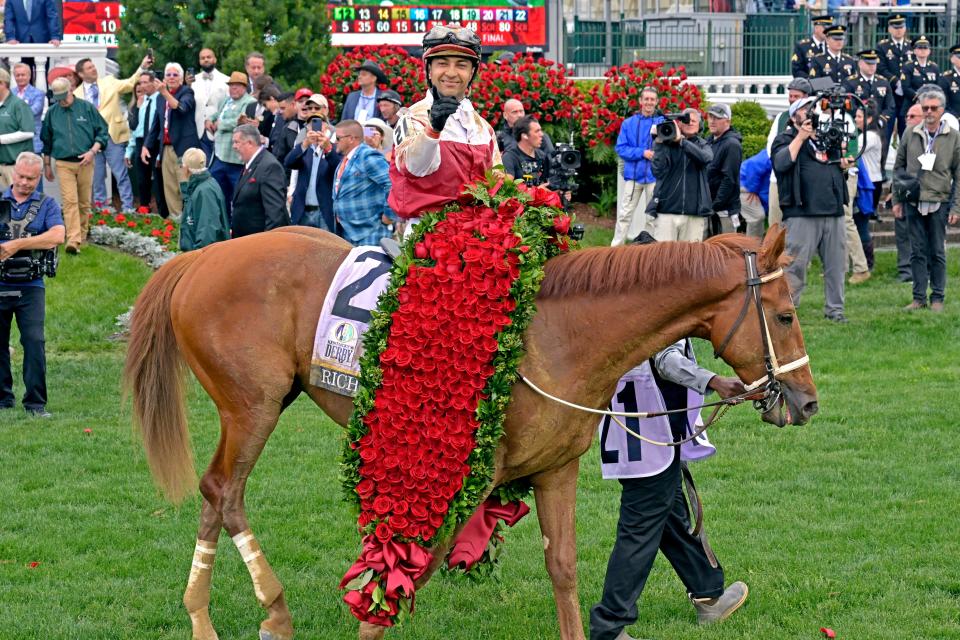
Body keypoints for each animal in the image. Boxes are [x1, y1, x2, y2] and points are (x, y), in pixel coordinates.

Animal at [124, 224, 816, 640]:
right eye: (785, 315)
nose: (807, 402)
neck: (555, 336)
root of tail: (199, 257)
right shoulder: (461, 482)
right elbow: (409, 573)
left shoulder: (555, 470)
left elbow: (564, 569)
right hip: (253, 406)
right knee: (224, 490)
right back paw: (262, 610)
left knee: (219, 494)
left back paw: (218, 616)